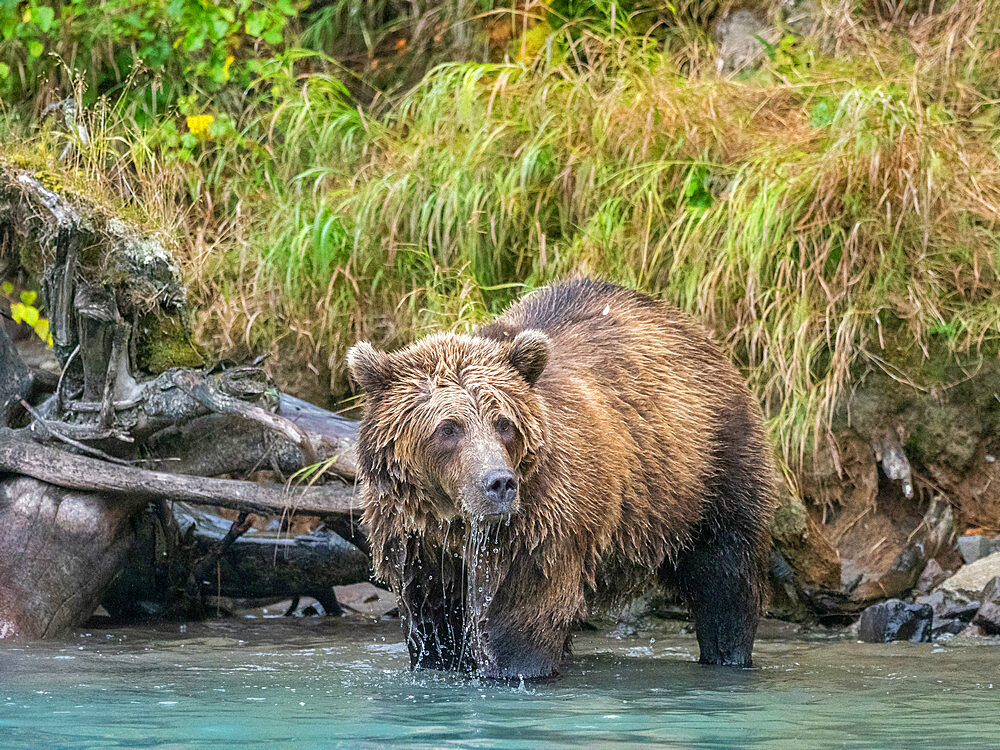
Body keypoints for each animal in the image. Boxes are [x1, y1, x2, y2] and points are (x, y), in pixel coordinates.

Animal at [348, 278, 776, 680]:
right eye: (448, 428)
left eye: (503, 423)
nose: (499, 484)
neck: (455, 524)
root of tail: (690, 327)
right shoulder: (416, 544)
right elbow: (434, 626)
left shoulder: (539, 526)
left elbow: (523, 617)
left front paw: (517, 667)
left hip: (707, 469)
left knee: (725, 574)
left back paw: (729, 654)